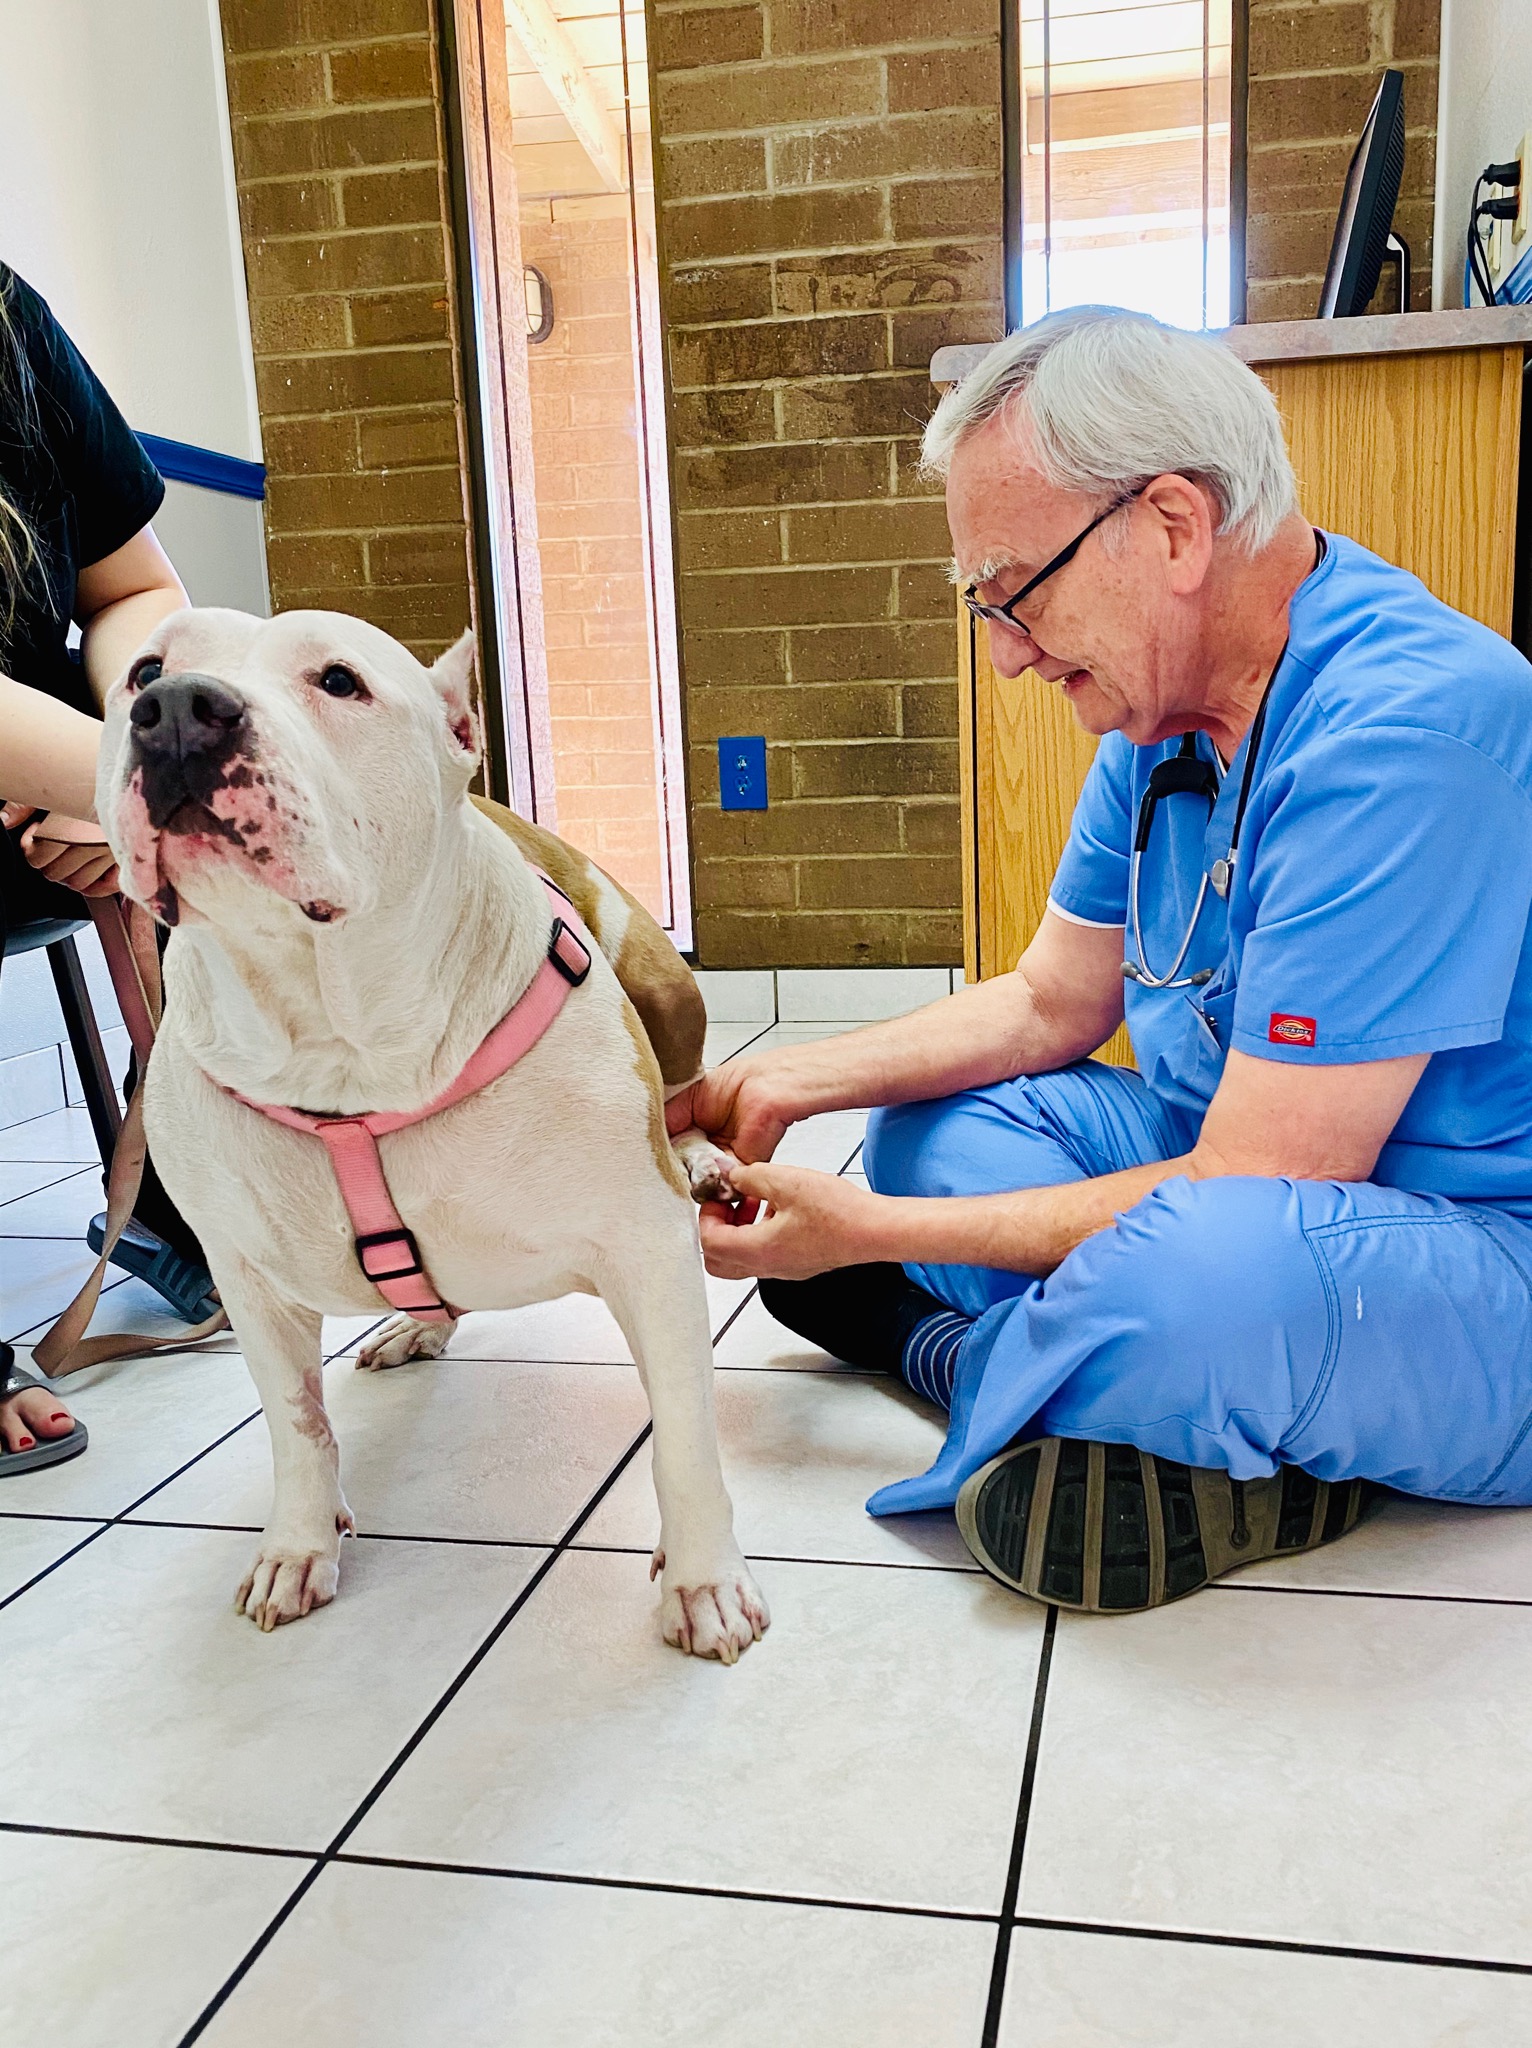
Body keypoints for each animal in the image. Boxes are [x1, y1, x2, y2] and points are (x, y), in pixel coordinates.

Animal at [94, 606, 766, 1662]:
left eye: (339, 680)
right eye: (144, 668)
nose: (175, 712)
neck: (341, 1043)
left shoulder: (646, 1245)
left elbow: (686, 1429)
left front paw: (704, 1579)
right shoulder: (246, 1278)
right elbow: (296, 1424)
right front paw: (297, 1545)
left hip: (662, 983)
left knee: (688, 1088)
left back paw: (700, 1154)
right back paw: (417, 1322)